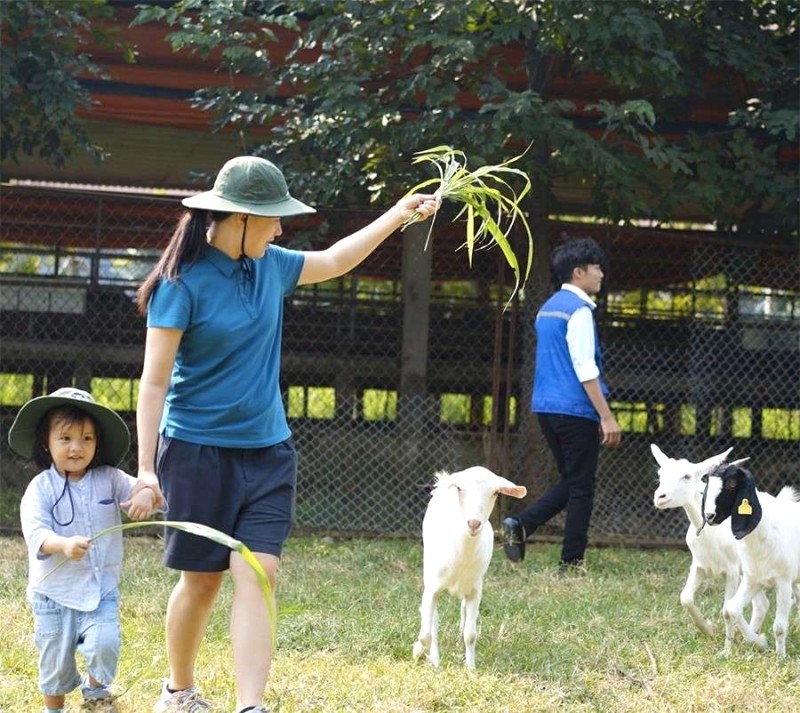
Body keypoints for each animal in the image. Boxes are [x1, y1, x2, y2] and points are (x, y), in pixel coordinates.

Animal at [412, 464, 524, 672]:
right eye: (459, 488)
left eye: (495, 492)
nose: (473, 523)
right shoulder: (432, 588)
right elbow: (426, 633)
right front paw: (419, 654)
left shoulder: (475, 590)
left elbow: (471, 634)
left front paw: (470, 668)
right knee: (434, 620)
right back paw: (434, 658)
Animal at [648, 442, 768, 636]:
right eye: (660, 474)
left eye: (687, 476)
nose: (660, 497)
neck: (711, 535)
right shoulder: (699, 565)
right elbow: (685, 598)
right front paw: (708, 630)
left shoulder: (732, 571)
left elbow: (726, 610)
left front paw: (728, 641)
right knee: (762, 604)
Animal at [704, 462, 800, 656]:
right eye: (707, 482)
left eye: (732, 484)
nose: (709, 516)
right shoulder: (753, 579)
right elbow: (732, 607)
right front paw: (759, 642)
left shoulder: (783, 581)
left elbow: (779, 627)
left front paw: (781, 657)